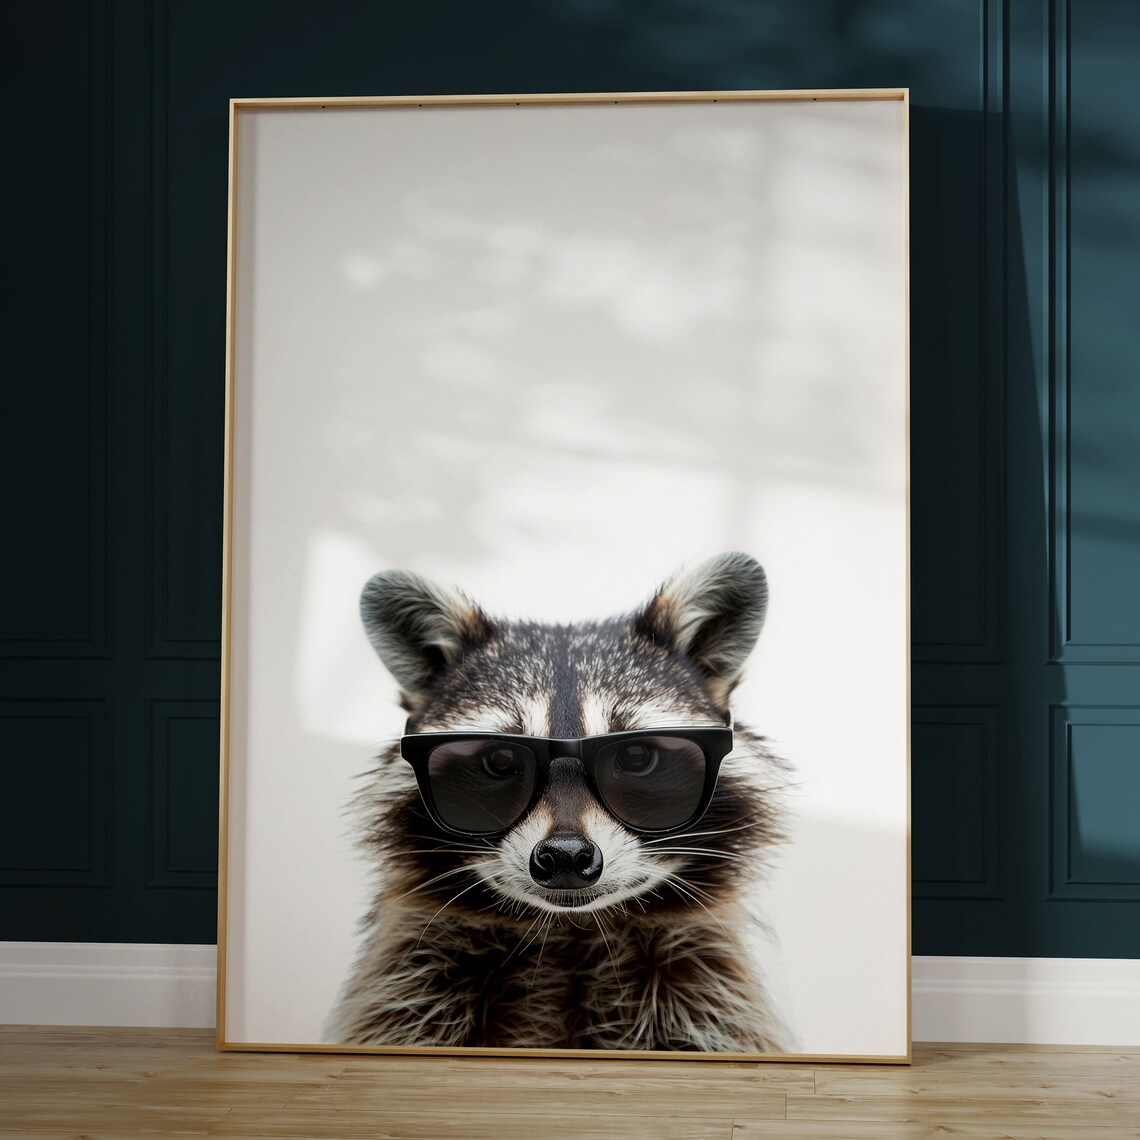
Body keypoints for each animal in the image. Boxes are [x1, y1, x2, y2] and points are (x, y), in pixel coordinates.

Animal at [326, 552, 798, 1053]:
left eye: (635, 756)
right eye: (500, 759)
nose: (566, 856)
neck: (571, 930)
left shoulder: (703, 990)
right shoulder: (416, 983)